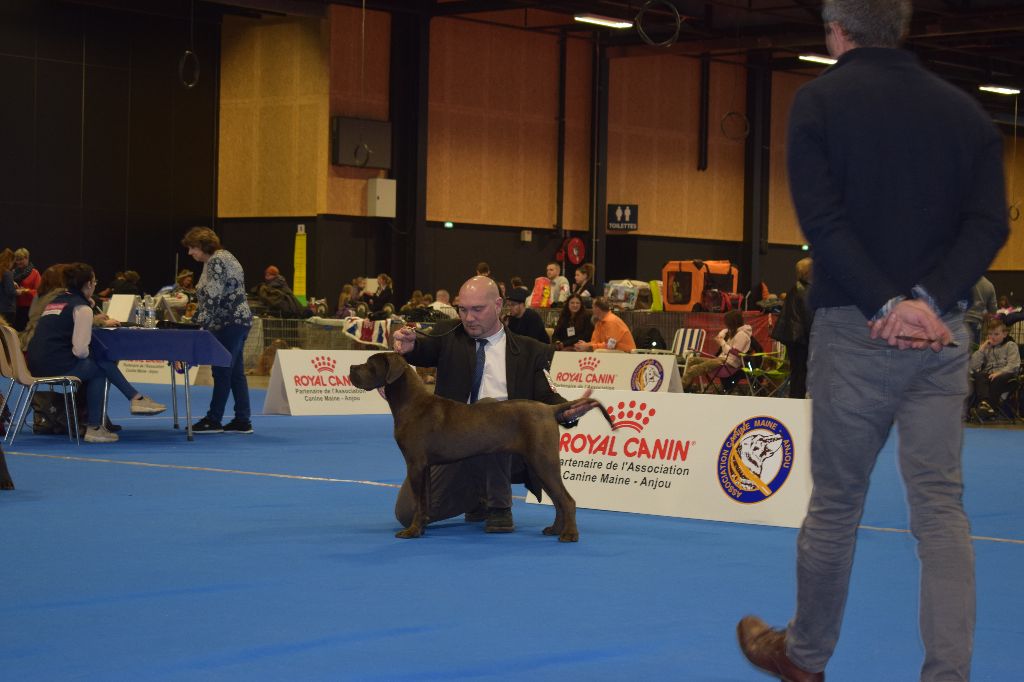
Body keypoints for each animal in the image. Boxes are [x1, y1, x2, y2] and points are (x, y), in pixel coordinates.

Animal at [348, 350, 610, 540]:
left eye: (370, 364)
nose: (351, 367)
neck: (411, 403)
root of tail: (549, 408)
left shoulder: (415, 464)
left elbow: (418, 501)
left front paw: (411, 532)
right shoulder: (424, 467)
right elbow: (423, 502)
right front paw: (420, 527)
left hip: (543, 461)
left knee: (567, 500)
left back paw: (569, 535)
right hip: (538, 464)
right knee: (557, 501)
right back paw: (555, 529)